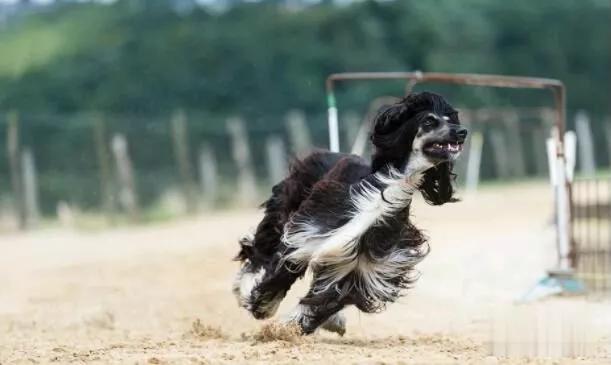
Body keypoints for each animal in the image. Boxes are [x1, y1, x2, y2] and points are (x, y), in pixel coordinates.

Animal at [234, 92, 468, 334]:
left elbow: (326, 299)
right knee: (258, 250)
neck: (386, 191)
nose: (462, 132)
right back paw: (244, 287)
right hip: (285, 209)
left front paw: (293, 327)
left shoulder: (359, 267)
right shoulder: (306, 236)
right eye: (429, 121)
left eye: (449, 120)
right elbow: (279, 276)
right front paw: (263, 308)